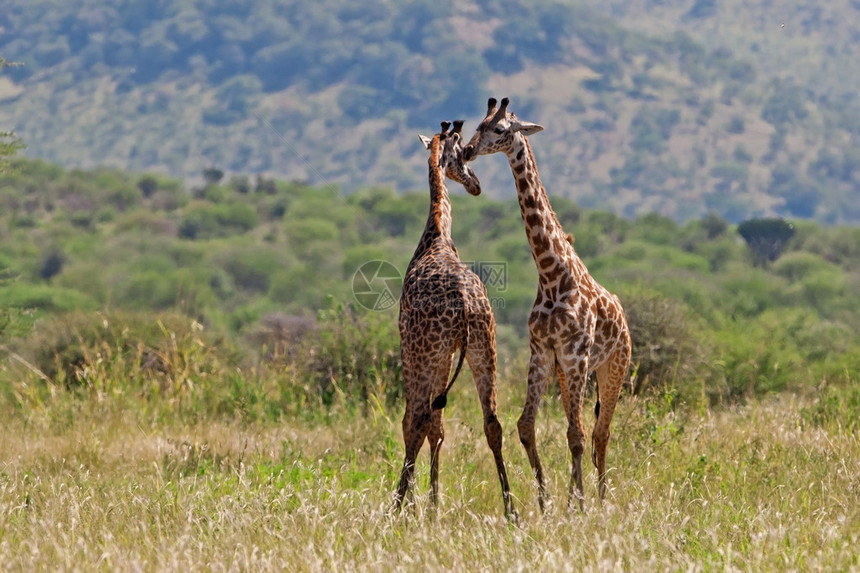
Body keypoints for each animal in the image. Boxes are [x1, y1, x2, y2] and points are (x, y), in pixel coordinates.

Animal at [394, 120, 512, 520]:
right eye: (463, 154)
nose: (475, 184)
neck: (438, 235)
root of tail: (463, 303)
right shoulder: (449, 353)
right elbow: (440, 427)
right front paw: (433, 504)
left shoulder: (414, 347)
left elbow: (421, 423)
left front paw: (422, 505)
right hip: (483, 345)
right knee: (492, 422)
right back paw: (512, 509)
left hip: (424, 352)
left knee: (415, 418)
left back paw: (394, 507)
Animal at [464, 97, 632, 510]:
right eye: (478, 125)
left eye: (501, 130)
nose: (468, 151)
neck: (552, 274)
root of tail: (623, 316)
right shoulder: (542, 350)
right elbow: (527, 426)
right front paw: (547, 502)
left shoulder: (575, 353)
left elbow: (578, 434)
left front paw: (580, 504)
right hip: (568, 370)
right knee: (586, 427)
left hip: (612, 367)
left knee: (600, 432)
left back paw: (600, 498)